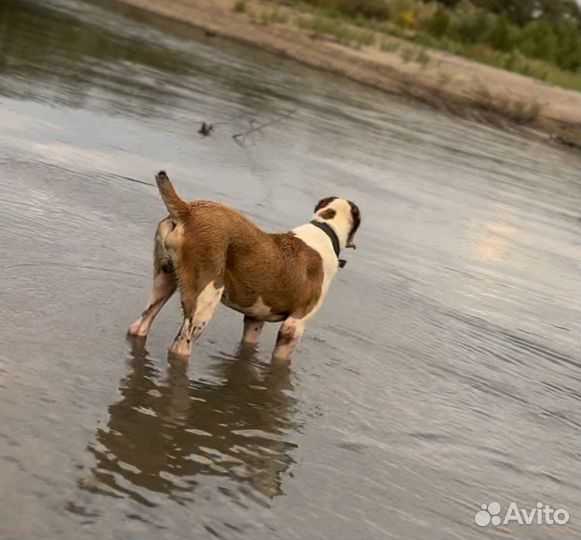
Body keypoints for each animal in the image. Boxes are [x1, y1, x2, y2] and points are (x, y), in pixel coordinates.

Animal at [129, 171, 360, 360]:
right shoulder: (293, 326)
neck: (325, 228)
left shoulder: (254, 320)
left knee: (139, 325)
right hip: (204, 301)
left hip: (163, 282)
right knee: (180, 347)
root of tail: (188, 210)